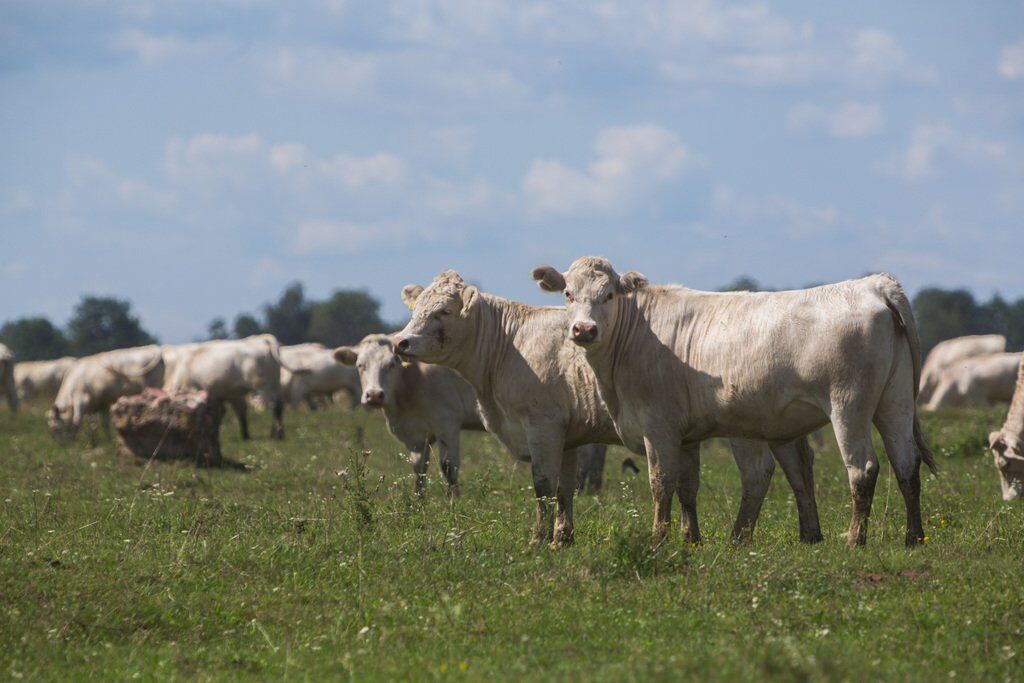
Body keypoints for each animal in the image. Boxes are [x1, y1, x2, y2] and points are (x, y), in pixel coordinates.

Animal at [331, 331, 483, 497]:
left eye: (392, 364)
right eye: (360, 365)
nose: (374, 395)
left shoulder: (447, 423)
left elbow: (448, 467)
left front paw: (454, 502)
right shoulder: (415, 434)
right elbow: (419, 469)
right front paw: (419, 500)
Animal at [391, 270, 823, 548]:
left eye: (444, 311)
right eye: (416, 309)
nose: (401, 342)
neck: (507, 347)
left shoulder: (542, 425)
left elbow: (543, 485)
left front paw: (537, 541)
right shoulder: (566, 435)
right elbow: (564, 488)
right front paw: (562, 539)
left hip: (745, 428)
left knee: (757, 474)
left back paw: (740, 539)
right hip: (781, 427)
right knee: (799, 468)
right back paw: (810, 534)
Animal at [536, 255, 937, 548]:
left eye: (609, 296)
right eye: (568, 294)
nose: (584, 330)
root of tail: (873, 284)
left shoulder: (658, 426)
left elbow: (661, 483)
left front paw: (657, 540)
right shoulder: (687, 434)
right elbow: (687, 485)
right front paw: (691, 539)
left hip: (849, 405)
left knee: (864, 468)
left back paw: (855, 539)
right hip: (896, 402)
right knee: (906, 463)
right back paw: (913, 537)